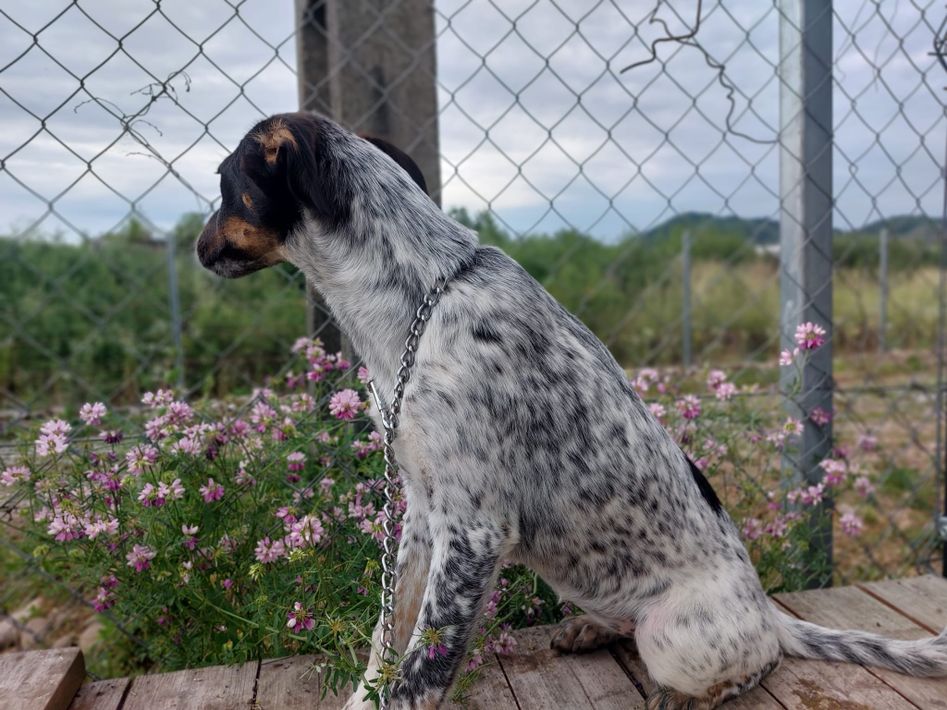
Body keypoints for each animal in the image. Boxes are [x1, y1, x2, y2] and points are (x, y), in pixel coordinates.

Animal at [197, 111, 947, 709]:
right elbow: (387, 642)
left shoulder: (474, 530)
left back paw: (688, 694)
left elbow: (420, 672)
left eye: (223, 182)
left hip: (676, 636)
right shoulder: (422, 511)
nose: (199, 249)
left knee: (754, 663)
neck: (421, 301)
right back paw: (592, 628)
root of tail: (766, 608)